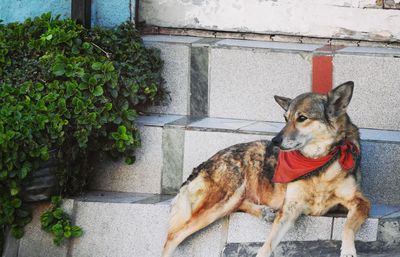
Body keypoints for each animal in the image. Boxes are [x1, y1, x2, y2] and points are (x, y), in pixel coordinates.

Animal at [161, 81, 370, 256]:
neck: (318, 162)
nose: (275, 141)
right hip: (225, 198)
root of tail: (202, 165)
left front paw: (348, 251)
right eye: (285, 118)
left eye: (302, 118)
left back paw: (264, 211)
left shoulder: (361, 202)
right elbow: (268, 243)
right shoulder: (290, 208)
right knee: (172, 236)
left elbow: (347, 227)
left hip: (231, 198)